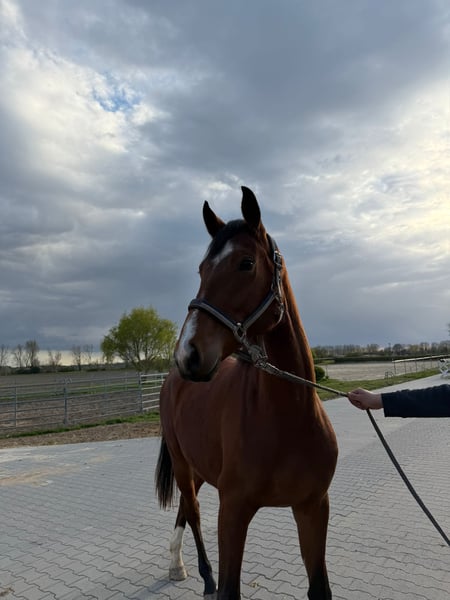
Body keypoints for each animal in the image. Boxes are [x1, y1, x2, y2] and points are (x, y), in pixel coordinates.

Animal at [156, 186, 338, 599]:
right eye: (201, 269)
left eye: (245, 263)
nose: (188, 353)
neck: (288, 417)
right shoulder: (233, 511)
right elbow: (228, 588)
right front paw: (215, 582)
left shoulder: (313, 508)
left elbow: (319, 587)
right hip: (183, 463)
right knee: (192, 512)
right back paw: (199, 575)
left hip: (199, 465)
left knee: (185, 508)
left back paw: (177, 564)